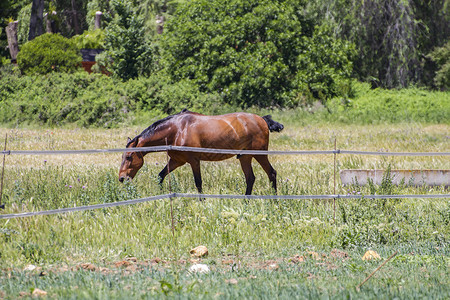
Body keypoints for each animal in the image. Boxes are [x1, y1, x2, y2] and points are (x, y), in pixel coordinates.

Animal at [118, 109, 284, 195]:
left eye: (129, 156)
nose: (121, 178)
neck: (177, 130)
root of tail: (262, 119)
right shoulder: (176, 161)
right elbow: (161, 176)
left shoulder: (194, 161)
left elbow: (198, 183)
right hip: (245, 157)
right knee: (251, 179)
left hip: (259, 154)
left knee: (271, 173)